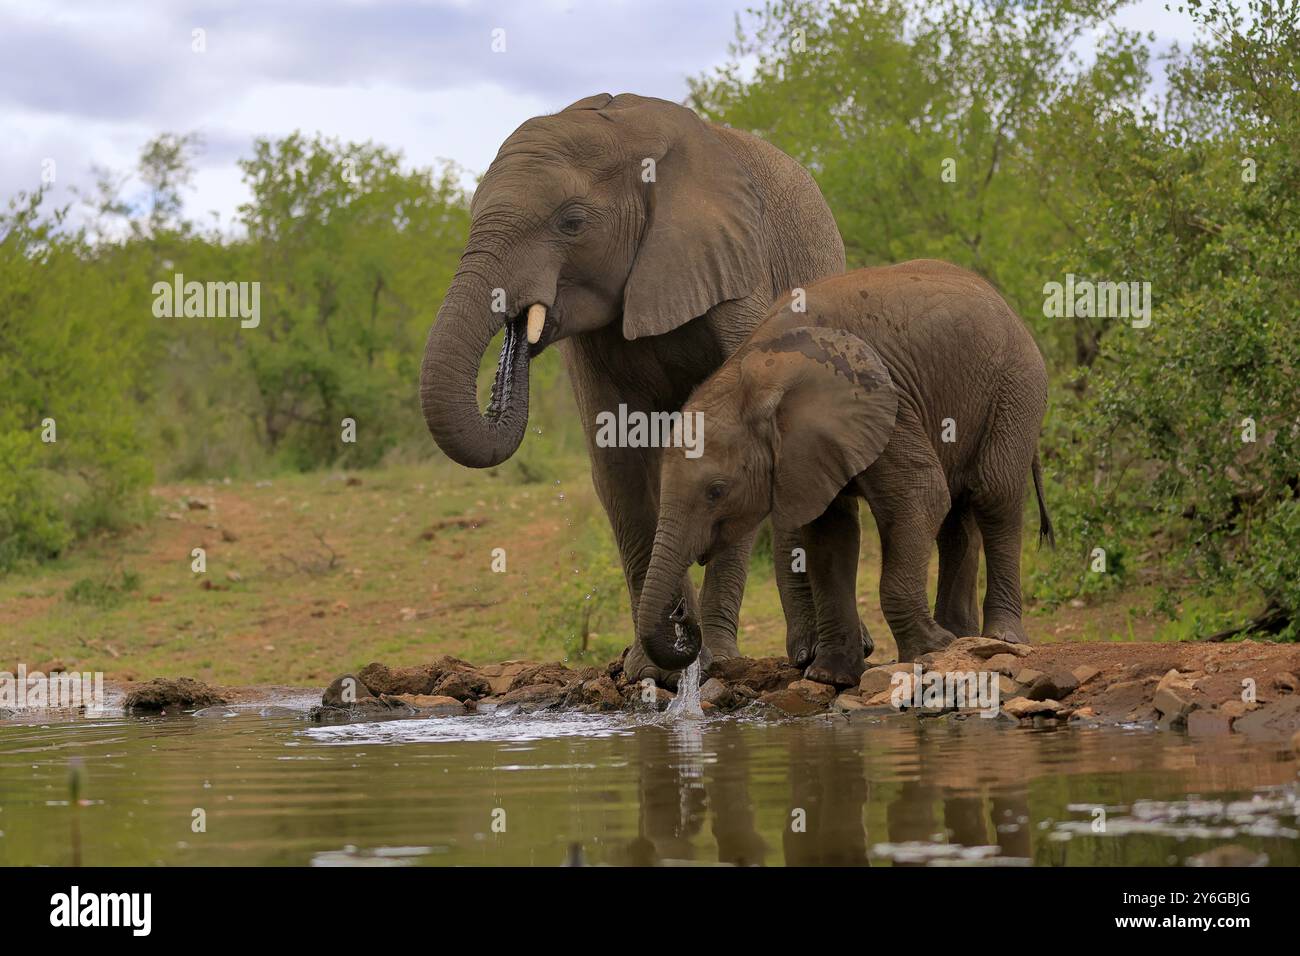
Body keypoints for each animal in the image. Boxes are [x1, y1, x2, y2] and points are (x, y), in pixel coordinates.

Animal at [417, 92, 851, 683]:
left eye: (571, 222)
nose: (518, 330)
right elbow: (617, 457)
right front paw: (652, 671)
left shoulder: (736, 271)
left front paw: (711, 661)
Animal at [636, 259, 1053, 687]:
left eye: (716, 491)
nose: (681, 615)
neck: (756, 369)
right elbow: (829, 536)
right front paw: (830, 676)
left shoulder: (884, 402)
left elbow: (921, 495)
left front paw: (931, 650)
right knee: (958, 514)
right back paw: (962, 635)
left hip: (1016, 384)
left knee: (994, 496)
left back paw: (999, 636)